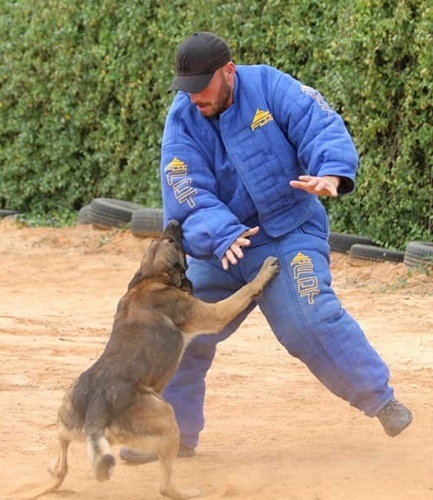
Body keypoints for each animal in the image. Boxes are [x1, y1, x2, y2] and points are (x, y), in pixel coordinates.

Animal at [24, 220, 280, 500]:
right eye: (173, 242)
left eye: (158, 239)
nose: (175, 222)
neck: (151, 278)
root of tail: (97, 407)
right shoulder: (214, 313)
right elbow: (243, 291)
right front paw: (264, 271)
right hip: (166, 417)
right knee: (165, 486)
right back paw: (189, 492)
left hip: (65, 417)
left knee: (62, 467)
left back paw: (50, 473)